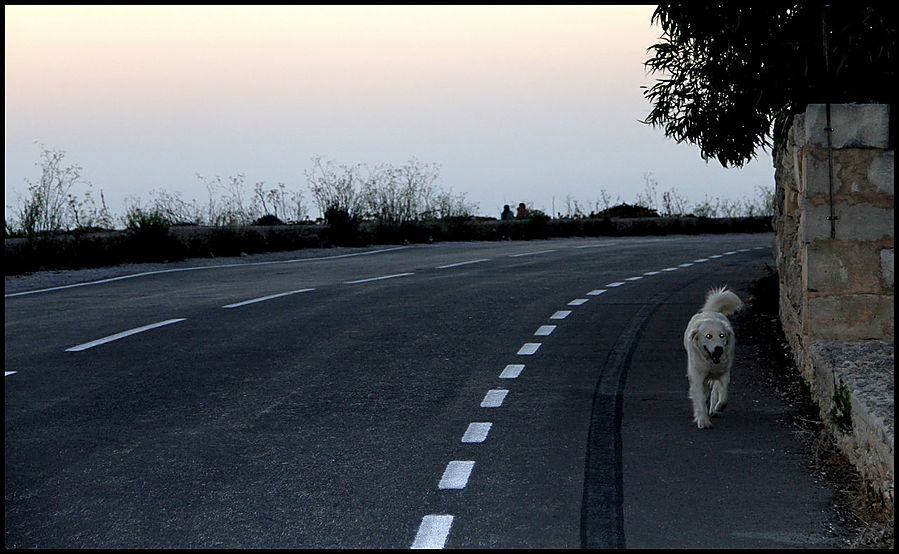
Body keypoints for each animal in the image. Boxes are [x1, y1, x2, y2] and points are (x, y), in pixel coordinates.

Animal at [684, 284, 740, 426]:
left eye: (722, 335)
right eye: (708, 336)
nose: (719, 349)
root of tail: (711, 311)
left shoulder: (724, 374)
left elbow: (724, 397)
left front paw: (718, 408)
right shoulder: (698, 376)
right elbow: (699, 398)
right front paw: (703, 420)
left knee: (715, 391)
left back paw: (714, 409)